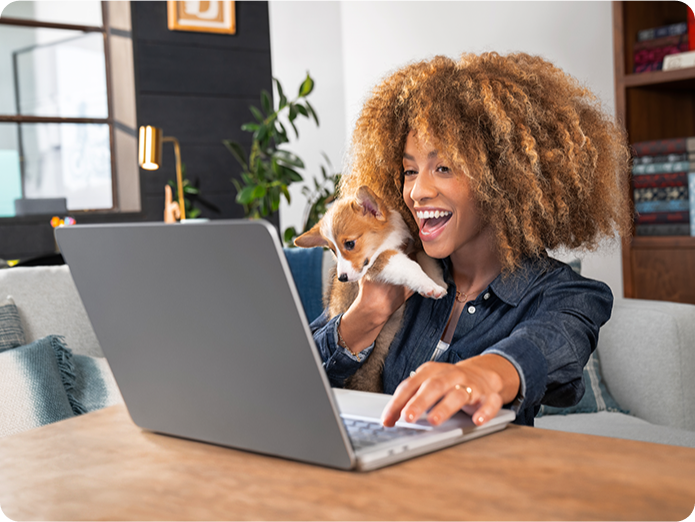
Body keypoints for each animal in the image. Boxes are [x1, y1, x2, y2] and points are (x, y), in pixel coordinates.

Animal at [294, 184, 446, 390]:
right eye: (333, 250)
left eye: (350, 244)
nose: (342, 278)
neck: (387, 239)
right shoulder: (380, 262)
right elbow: (410, 266)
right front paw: (430, 286)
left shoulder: (414, 248)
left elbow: (427, 259)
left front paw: (439, 282)